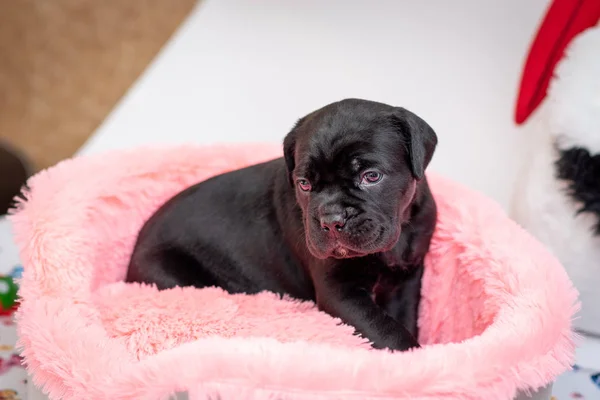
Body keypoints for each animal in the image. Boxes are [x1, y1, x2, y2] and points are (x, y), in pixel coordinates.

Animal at [126, 98, 436, 352]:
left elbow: (403, 318)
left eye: (371, 176)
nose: (331, 220)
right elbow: (388, 332)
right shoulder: (340, 293)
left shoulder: (406, 278)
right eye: (304, 184)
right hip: (168, 275)